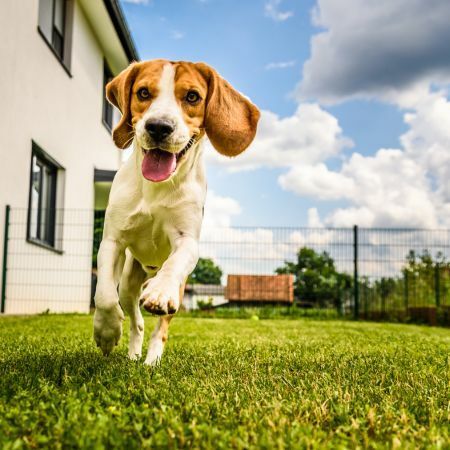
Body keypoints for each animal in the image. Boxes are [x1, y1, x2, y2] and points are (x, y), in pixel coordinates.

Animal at [94, 59, 260, 364]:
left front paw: (159, 291)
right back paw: (133, 356)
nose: (159, 127)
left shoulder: (187, 241)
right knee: (136, 320)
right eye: (143, 92)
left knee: (160, 329)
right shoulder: (112, 240)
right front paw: (107, 333)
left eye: (192, 96)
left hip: (180, 291)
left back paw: (151, 361)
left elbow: (176, 262)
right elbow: (104, 297)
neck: (156, 188)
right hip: (129, 283)